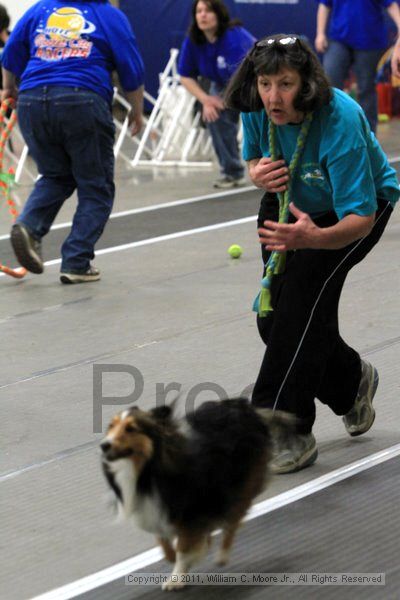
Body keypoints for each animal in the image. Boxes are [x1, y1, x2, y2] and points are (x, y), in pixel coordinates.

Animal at [101, 398, 290, 592]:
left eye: (131, 428)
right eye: (111, 426)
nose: (104, 445)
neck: (149, 469)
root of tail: (247, 407)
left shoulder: (192, 511)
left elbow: (183, 548)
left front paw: (176, 578)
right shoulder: (156, 509)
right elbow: (164, 543)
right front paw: (176, 557)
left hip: (239, 485)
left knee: (233, 521)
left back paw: (222, 555)